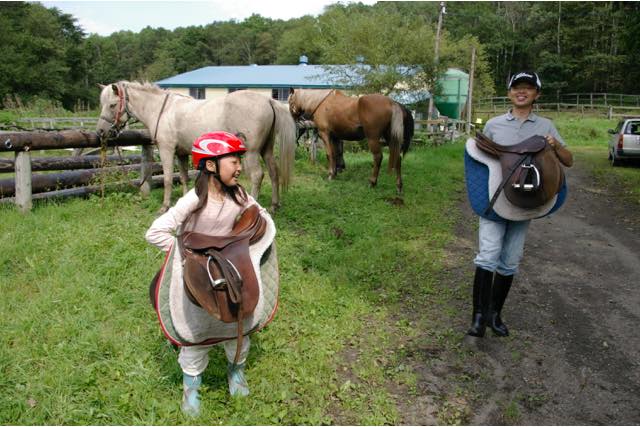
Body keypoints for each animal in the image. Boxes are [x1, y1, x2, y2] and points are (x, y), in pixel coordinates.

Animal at [96, 81, 296, 212]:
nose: (100, 132)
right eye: (102, 104)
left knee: (257, 176)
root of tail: (267, 100)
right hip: (266, 150)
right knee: (274, 172)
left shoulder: (167, 150)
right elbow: (184, 178)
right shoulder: (181, 153)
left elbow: (168, 179)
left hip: (252, 153)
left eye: (112, 105)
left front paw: (165, 206)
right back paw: (274, 205)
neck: (162, 110)